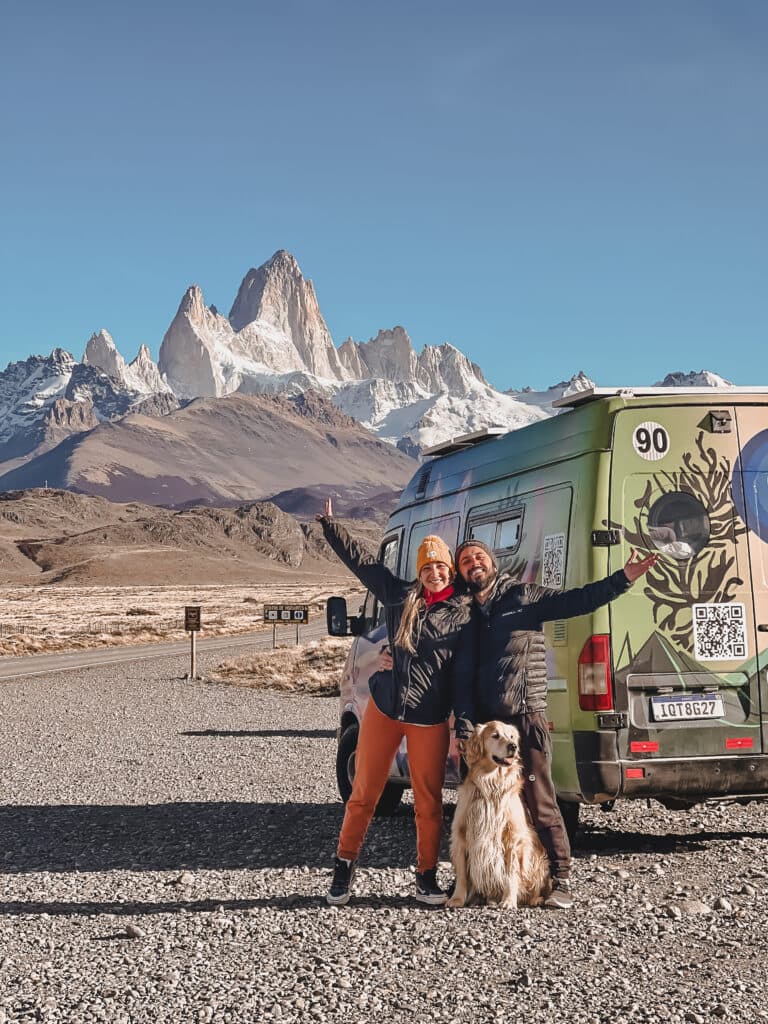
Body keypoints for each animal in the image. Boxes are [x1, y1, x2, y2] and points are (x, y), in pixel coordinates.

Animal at [444, 720, 552, 913]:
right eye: (495, 735)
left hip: (538, 858)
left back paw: (535, 899)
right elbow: (462, 874)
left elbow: (510, 873)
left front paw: (509, 900)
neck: (491, 783)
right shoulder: (460, 836)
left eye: (511, 736)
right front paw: (457, 899)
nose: (513, 746)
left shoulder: (513, 838)